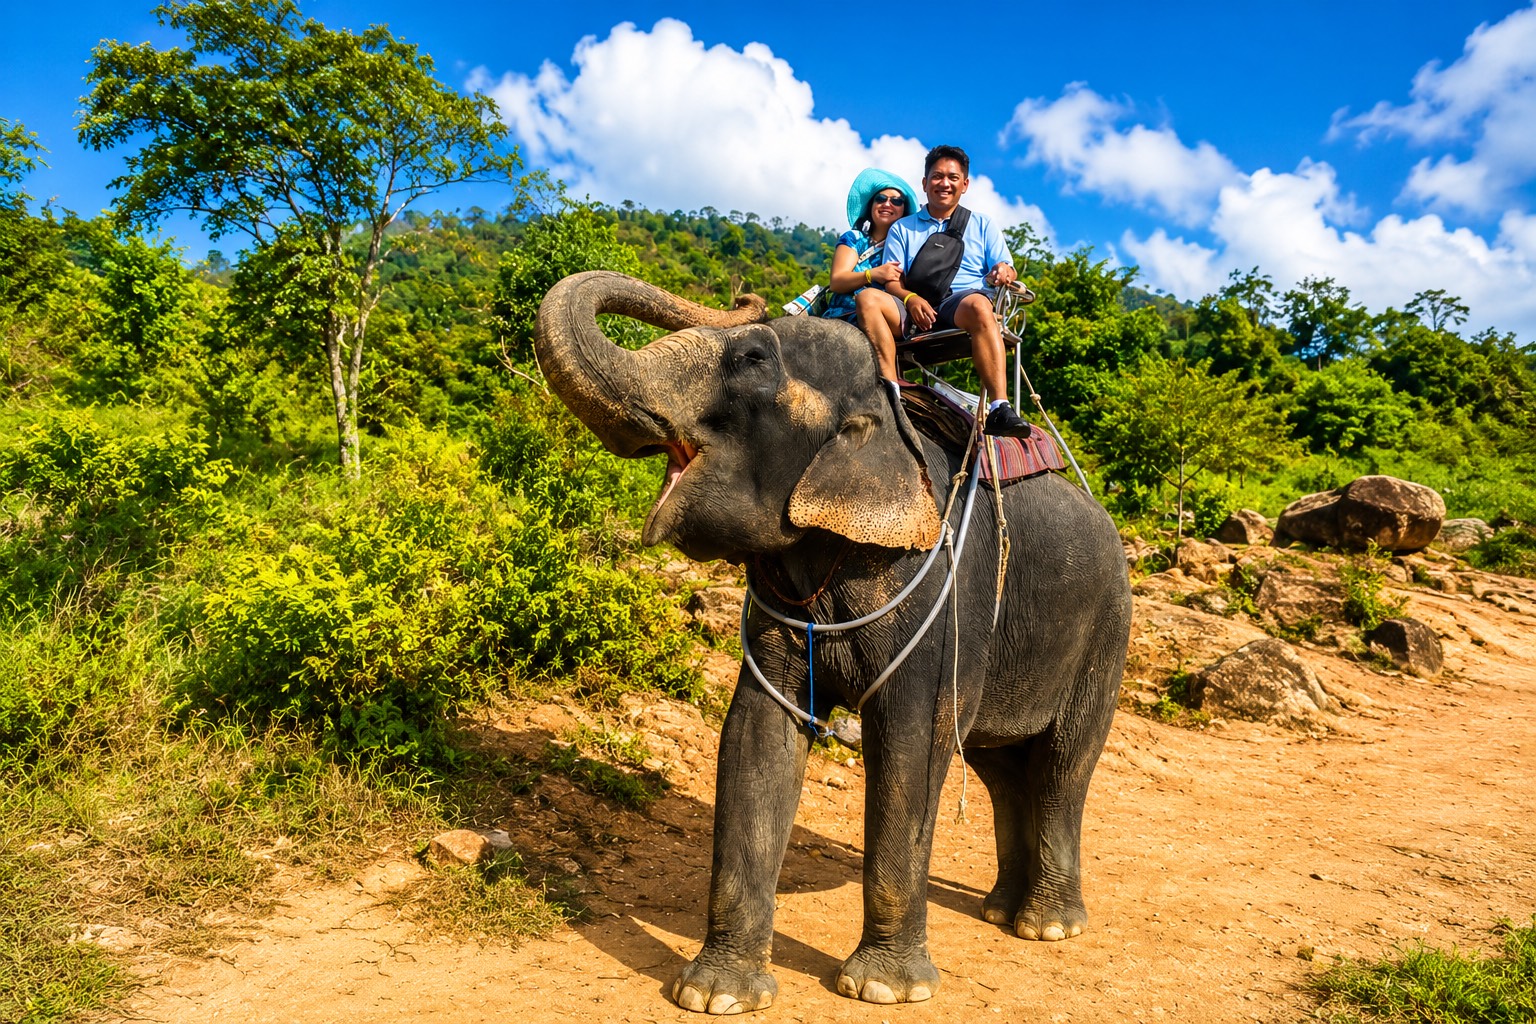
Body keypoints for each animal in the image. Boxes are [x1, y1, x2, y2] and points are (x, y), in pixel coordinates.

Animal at [533, 271, 1132, 1013]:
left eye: (751, 359)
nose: (747, 298)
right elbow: (757, 733)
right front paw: (715, 996)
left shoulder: (938, 584)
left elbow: (913, 739)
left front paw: (883, 989)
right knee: (1001, 767)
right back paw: (999, 910)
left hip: (1106, 628)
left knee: (1061, 764)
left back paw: (1047, 926)